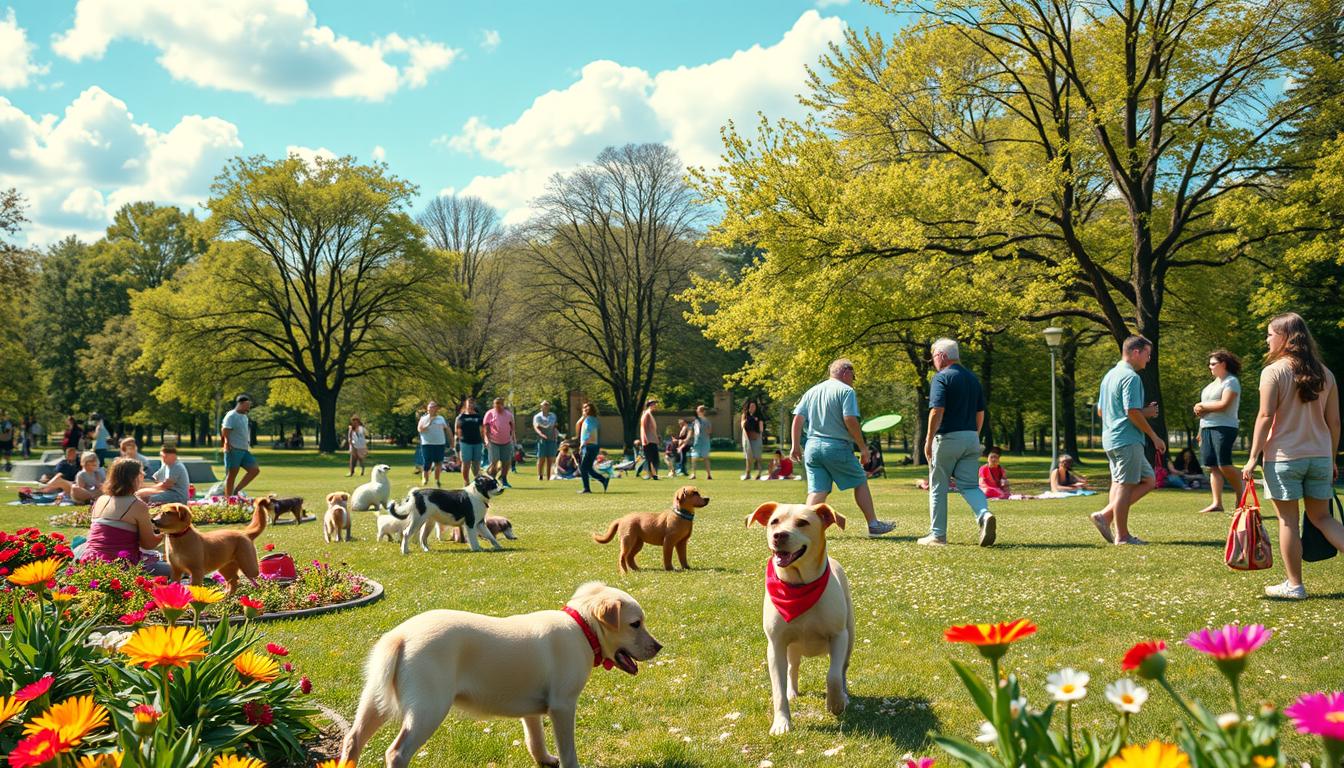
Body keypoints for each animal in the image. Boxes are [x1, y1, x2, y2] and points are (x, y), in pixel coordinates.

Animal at [338, 583, 663, 768]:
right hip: (428, 709)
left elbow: (535, 741)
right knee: (396, 753)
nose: (659, 646)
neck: (583, 629)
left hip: (374, 700)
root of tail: (401, 636)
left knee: (353, 739)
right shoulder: (563, 706)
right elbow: (568, 751)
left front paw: (545, 761)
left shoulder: (532, 712)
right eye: (636, 624)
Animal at [747, 503, 849, 737]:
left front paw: (835, 703)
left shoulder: (839, 635)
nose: (778, 535)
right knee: (793, 667)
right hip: (792, 647)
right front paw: (781, 722)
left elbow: (833, 675)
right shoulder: (775, 645)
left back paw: (845, 694)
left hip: (851, 635)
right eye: (774, 521)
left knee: (843, 668)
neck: (799, 586)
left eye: (803, 522)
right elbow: (778, 687)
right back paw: (792, 691)